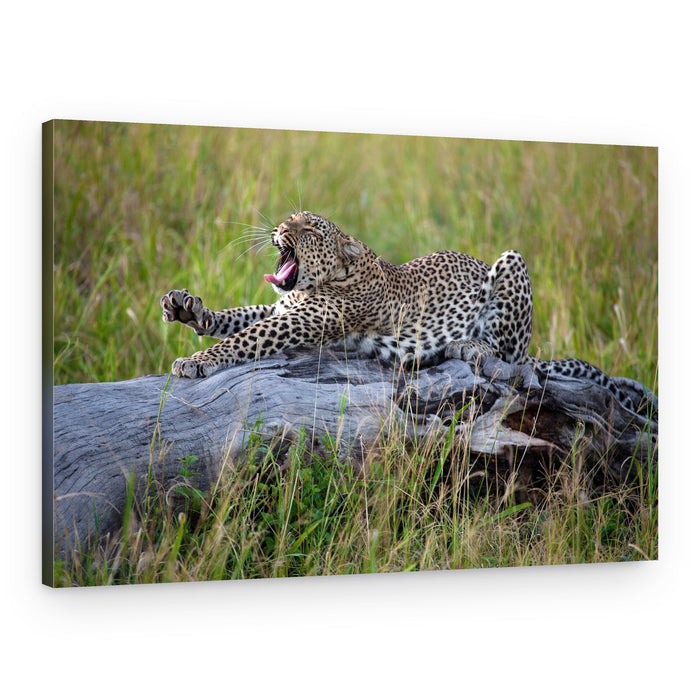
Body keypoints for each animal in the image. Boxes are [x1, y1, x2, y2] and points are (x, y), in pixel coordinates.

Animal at [161, 211, 654, 415]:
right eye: (292, 219)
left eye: (310, 230)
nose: (279, 228)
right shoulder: (285, 306)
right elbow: (240, 316)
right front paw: (190, 310)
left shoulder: (300, 320)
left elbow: (245, 337)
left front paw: (195, 362)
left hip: (511, 265)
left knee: (512, 356)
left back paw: (468, 345)